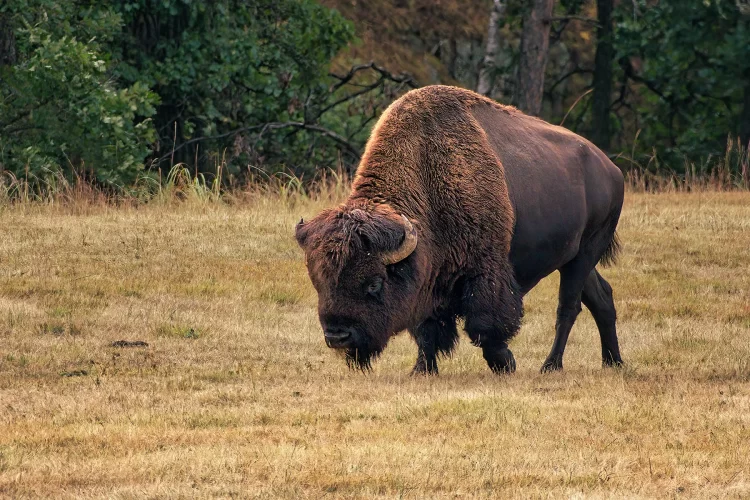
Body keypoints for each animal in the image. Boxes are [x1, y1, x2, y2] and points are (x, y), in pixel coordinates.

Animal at [295, 85, 624, 374]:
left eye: (375, 283)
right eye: (318, 281)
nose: (338, 336)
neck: (427, 173)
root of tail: (611, 169)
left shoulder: (485, 271)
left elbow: (485, 325)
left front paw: (505, 363)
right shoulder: (428, 280)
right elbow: (426, 330)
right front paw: (422, 370)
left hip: (586, 253)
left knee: (568, 307)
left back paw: (551, 366)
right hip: (575, 259)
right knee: (602, 297)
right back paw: (613, 362)